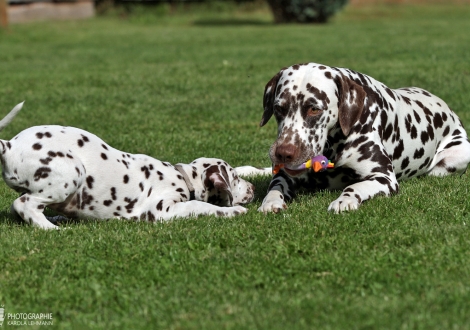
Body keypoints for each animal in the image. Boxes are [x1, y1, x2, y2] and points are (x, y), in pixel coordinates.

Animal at [0, 102, 255, 229]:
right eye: (235, 178)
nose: (253, 188)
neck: (182, 177)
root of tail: (10, 144)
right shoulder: (162, 210)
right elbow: (201, 206)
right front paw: (232, 211)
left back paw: (56, 220)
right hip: (71, 172)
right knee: (24, 205)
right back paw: (52, 229)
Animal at [258, 62, 470, 214]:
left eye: (314, 108)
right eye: (279, 108)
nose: (284, 153)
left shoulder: (384, 178)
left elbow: (354, 186)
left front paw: (344, 200)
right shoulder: (284, 174)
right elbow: (275, 185)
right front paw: (271, 201)